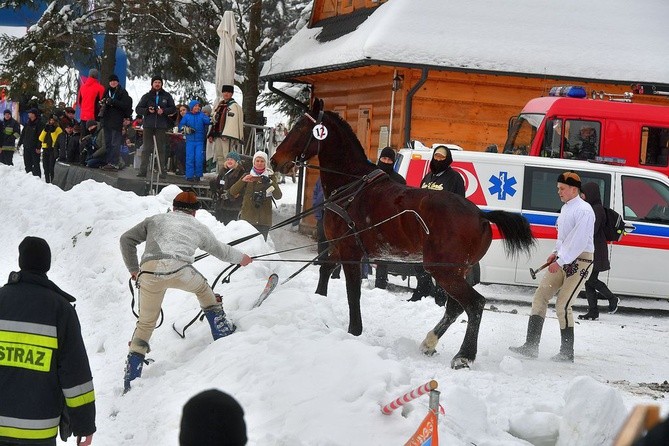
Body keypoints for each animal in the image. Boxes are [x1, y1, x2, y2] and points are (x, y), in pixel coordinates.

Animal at [268, 101, 536, 370]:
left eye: (301, 128)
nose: (274, 160)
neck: (352, 189)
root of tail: (481, 215)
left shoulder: (351, 252)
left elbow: (353, 292)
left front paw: (354, 331)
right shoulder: (337, 247)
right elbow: (324, 271)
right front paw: (319, 304)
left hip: (444, 270)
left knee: (474, 304)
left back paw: (464, 355)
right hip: (455, 270)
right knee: (455, 307)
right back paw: (430, 342)